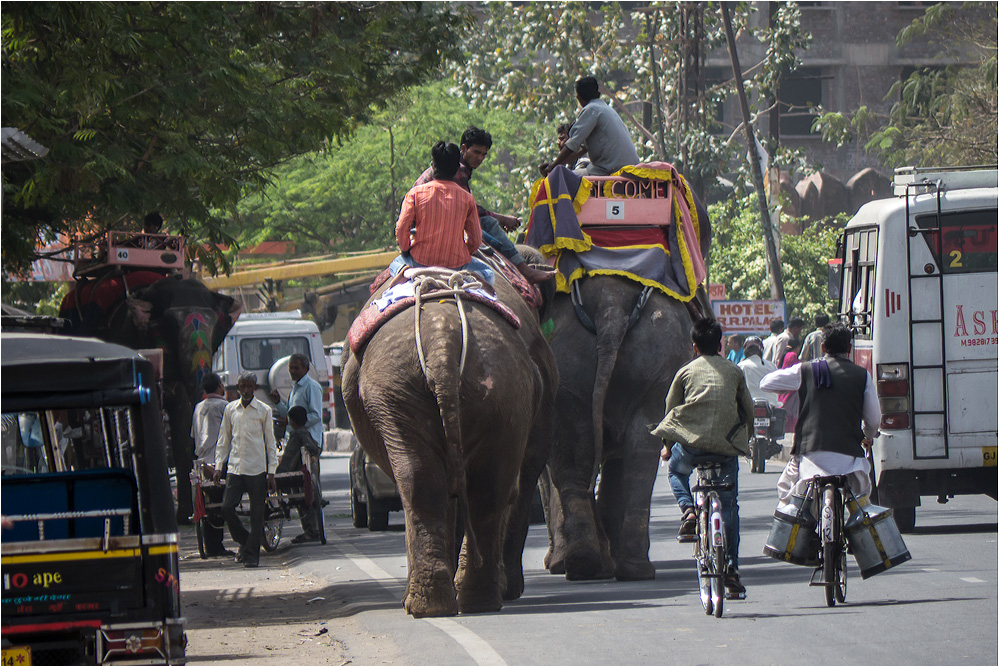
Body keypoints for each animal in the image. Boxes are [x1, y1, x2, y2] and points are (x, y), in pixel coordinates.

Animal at [344, 254, 560, 616]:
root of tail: (441, 340)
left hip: (428, 388)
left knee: (432, 480)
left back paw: (440, 602)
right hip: (461, 390)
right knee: (474, 482)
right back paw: (463, 600)